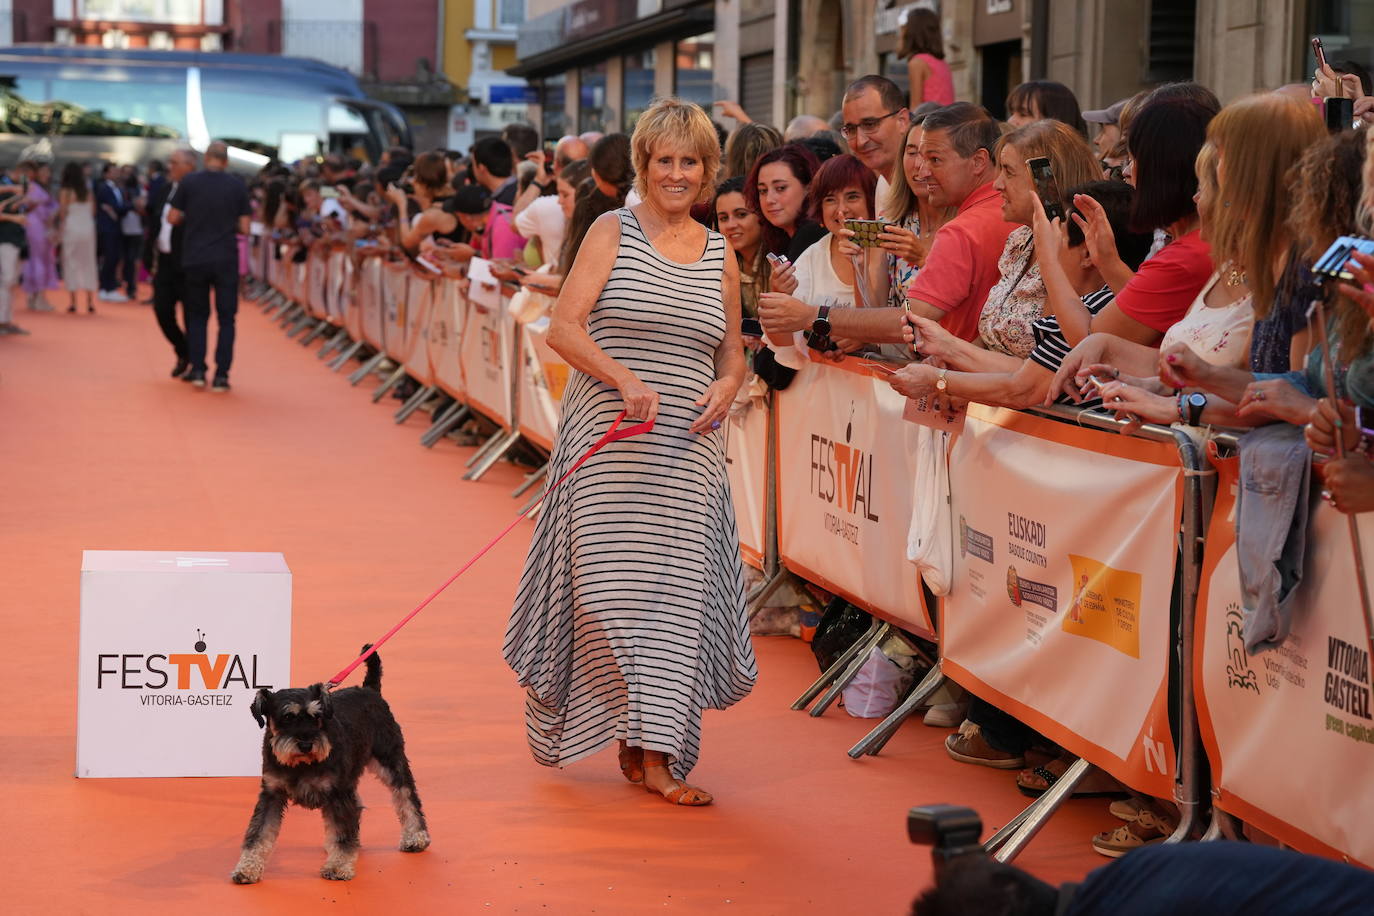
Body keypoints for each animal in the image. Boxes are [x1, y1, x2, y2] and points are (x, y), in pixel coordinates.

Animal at [229, 648, 428, 884]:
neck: (301, 764)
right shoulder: (271, 794)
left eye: (317, 716)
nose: (307, 744)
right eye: (287, 717)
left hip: (390, 761)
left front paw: (338, 866)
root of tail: (370, 690)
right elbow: (258, 834)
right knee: (358, 806)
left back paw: (416, 837)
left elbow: (342, 832)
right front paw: (247, 868)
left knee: (407, 796)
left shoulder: (338, 794)